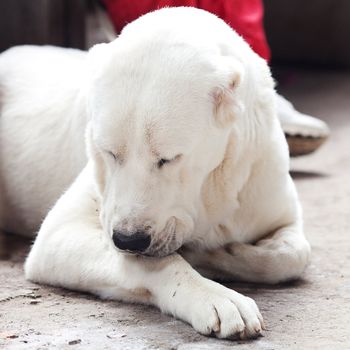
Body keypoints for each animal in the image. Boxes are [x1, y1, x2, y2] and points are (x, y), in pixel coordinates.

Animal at [0, 7, 310, 340]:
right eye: (109, 152)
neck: (212, 184)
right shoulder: (63, 231)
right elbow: (149, 263)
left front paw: (225, 253)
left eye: (167, 159)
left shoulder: (263, 182)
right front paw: (214, 295)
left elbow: (293, 255)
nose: (128, 238)